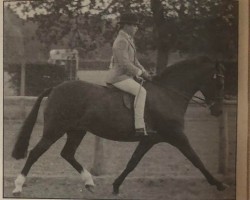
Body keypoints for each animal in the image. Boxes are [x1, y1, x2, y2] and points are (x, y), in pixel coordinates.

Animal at [11, 55, 228, 195]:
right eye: (218, 83)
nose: (218, 111)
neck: (167, 94)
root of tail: (55, 87)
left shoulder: (149, 140)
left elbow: (133, 162)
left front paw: (116, 186)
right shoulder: (177, 136)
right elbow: (196, 160)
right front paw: (218, 184)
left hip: (77, 131)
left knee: (67, 154)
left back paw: (89, 182)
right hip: (54, 130)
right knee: (35, 153)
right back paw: (18, 186)